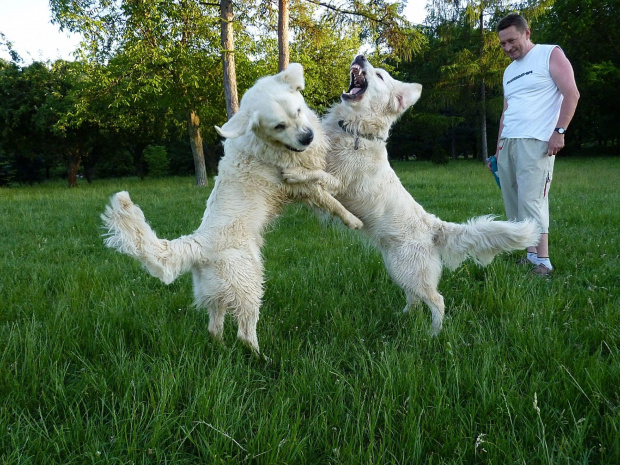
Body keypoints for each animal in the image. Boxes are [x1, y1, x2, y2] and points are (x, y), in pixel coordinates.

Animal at [100, 63, 364, 354]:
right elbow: (329, 192)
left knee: (214, 327)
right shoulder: (301, 186)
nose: (307, 137)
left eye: (297, 111)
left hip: (217, 292)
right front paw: (353, 219)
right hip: (249, 282)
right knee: (245, 333)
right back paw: (261, 356)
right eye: (279, 125)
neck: (272, 145)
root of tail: (198, 243)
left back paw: (222, 349)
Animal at [284, 56, 540, 334]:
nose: (360, 56)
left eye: (380, 75)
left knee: (437, 300)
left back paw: (433, 333)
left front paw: (293, 174)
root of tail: (433, 226)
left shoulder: (339, 183)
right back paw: (403, 316)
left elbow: (315, 174)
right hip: (398, 268)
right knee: (414, 298)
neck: (355, 132)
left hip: (410, 271)